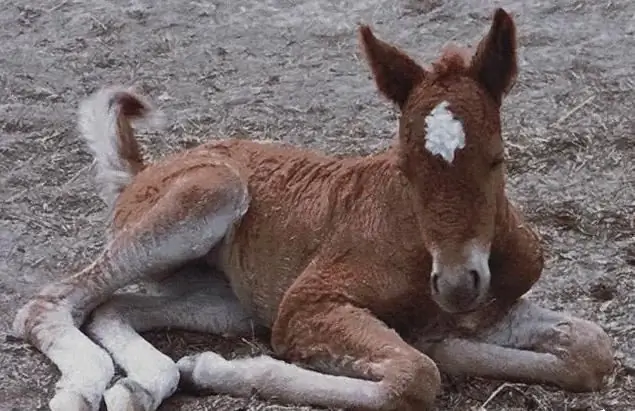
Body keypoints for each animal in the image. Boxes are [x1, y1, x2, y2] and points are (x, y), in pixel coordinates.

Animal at [12, 7, 612, 411]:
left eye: (497, 159)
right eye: (404, 167)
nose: (458, 284)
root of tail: (142, 172)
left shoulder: (488, 305)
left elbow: (593, 350)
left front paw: (444, 343)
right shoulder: (306, 305)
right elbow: (412, 377)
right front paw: (217, 371)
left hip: (228, 302)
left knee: (115, 306)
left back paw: (140, 387)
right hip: (211, 192)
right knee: (48, 302)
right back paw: (85, 387)